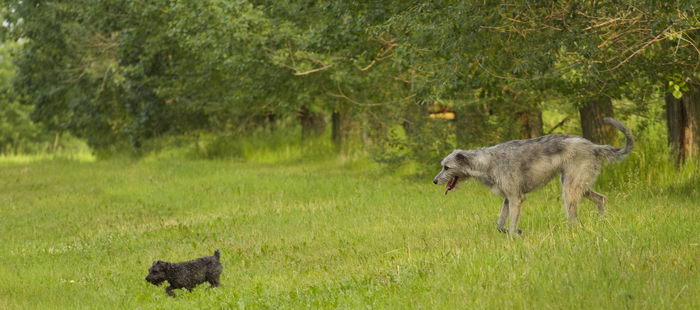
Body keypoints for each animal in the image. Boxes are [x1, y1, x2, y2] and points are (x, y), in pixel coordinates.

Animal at [432, 117, 636, 236]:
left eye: (446, 167)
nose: (434, 181)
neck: (487, 162)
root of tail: (593, 146)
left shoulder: (516, 198)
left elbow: (511, 223)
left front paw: (513, 237)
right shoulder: (508, 199)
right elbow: (500, 223)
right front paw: (510, 231)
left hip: (570, 188)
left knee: (574, 215)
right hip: (578, 184)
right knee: (601, 198)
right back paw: (602, 221)